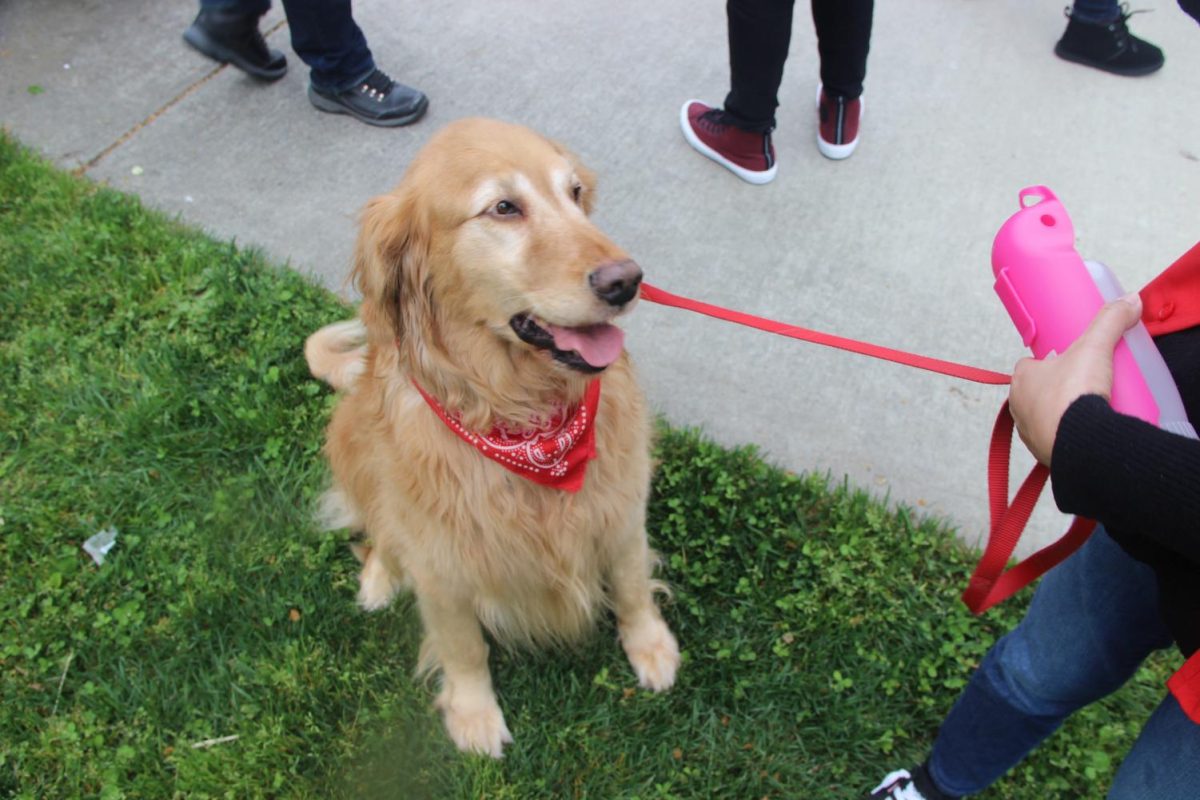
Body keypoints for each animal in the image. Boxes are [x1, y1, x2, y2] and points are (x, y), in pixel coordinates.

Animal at [304, 117, 681, 758]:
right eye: (504, 208)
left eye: (575, 194)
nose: (627, 281)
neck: (524, 418)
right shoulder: (441, 565)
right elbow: (463, 646)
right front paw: (473, 714)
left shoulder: (621, 507)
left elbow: (632, 585)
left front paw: (651, 647)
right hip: (348, 434)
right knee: (377, 522)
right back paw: (379, 576)